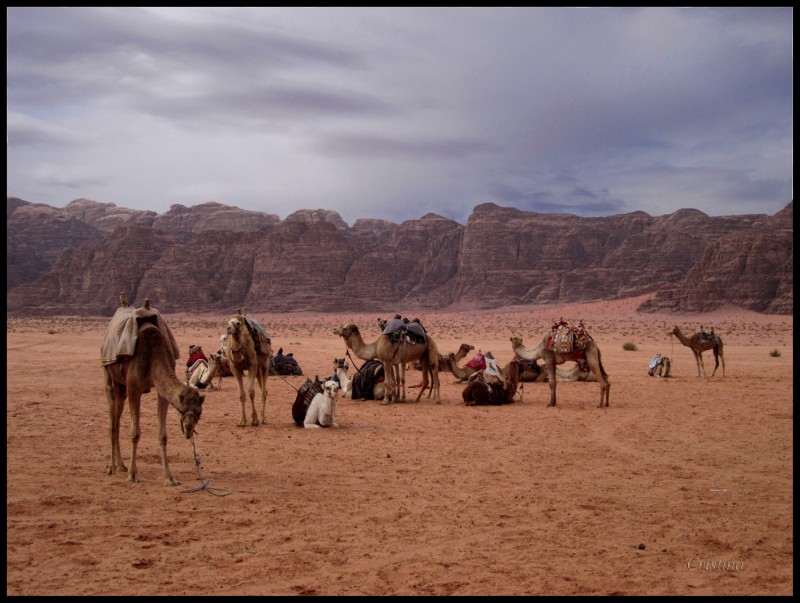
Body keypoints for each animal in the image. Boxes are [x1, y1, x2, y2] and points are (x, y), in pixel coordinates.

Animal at [100, 298, 205, 486]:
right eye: (183, 410)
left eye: (199, 412)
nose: (188, 429)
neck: (153, 354)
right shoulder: (134, 388)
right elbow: (135, 432)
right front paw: (133, 474)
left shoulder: (161, 392)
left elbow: (163, 435)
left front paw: (169, 478)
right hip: (109, 375)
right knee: (112, 421)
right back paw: (111, 468)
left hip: (122, 389)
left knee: (117, 420)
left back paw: (121, 465)